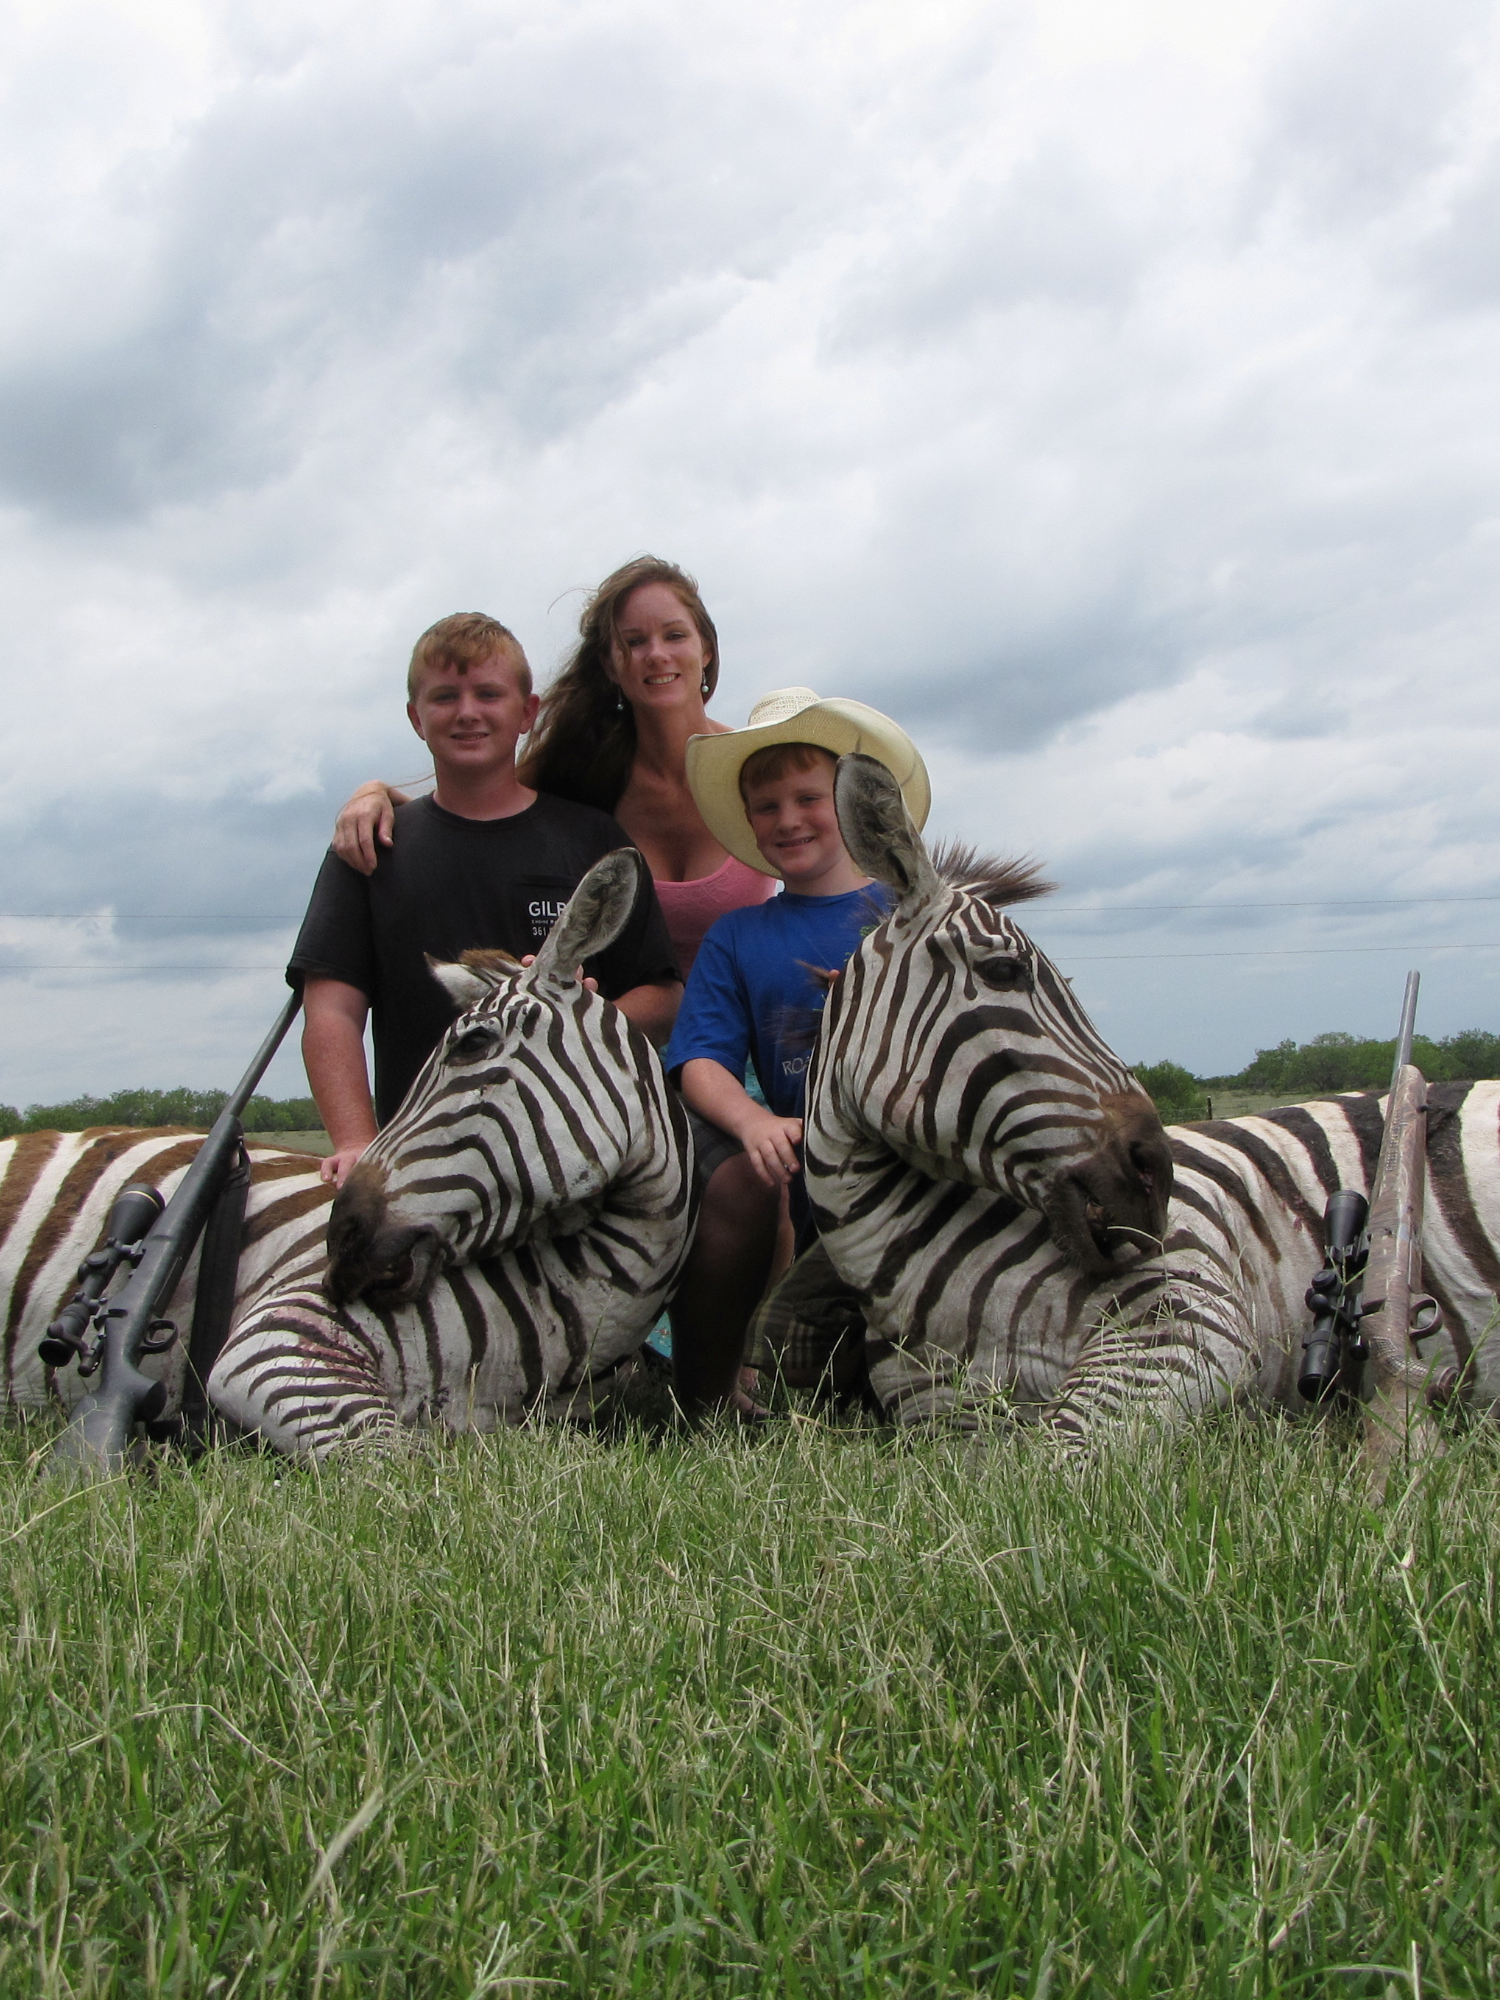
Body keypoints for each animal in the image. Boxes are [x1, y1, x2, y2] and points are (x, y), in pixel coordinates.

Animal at [792, 756, 1496, 1448]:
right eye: (1003, 972)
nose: (1158, 1180)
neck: (913, 1284)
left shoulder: (1193, 1317)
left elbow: (1060, 1454)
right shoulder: (944, 1418)